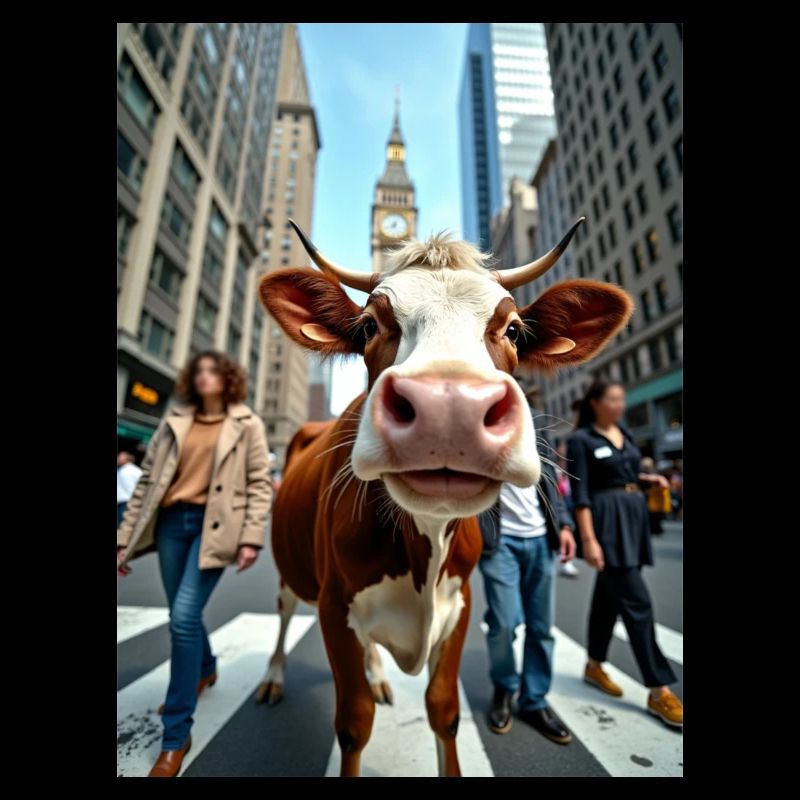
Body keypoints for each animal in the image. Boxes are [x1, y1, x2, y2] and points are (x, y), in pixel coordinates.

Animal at [254, 219, 633, 777]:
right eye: (369, 325)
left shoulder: (459, 607)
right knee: (281, 616)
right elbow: (354, 723)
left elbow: (445, 712)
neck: (423, 543)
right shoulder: (331, 606)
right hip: (290, 572)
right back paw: (273, 678)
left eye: (513, 329)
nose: (449, 408)